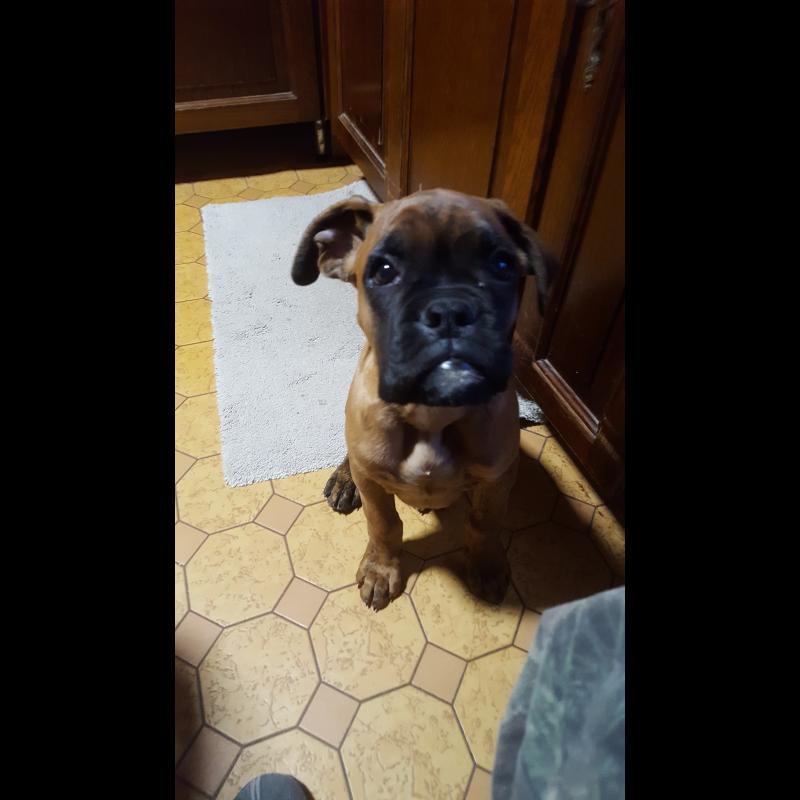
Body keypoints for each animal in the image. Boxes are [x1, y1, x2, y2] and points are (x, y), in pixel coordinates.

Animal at [291, 189, 553, 611]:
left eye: (502, 265)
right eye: (383, 271)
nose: (449, 309)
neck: (432, 412)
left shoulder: (497, 479)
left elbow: (484, 523)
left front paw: (487, 565)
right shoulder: (375, 485)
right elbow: (384, 524)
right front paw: (381, 569)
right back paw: (344, 479)